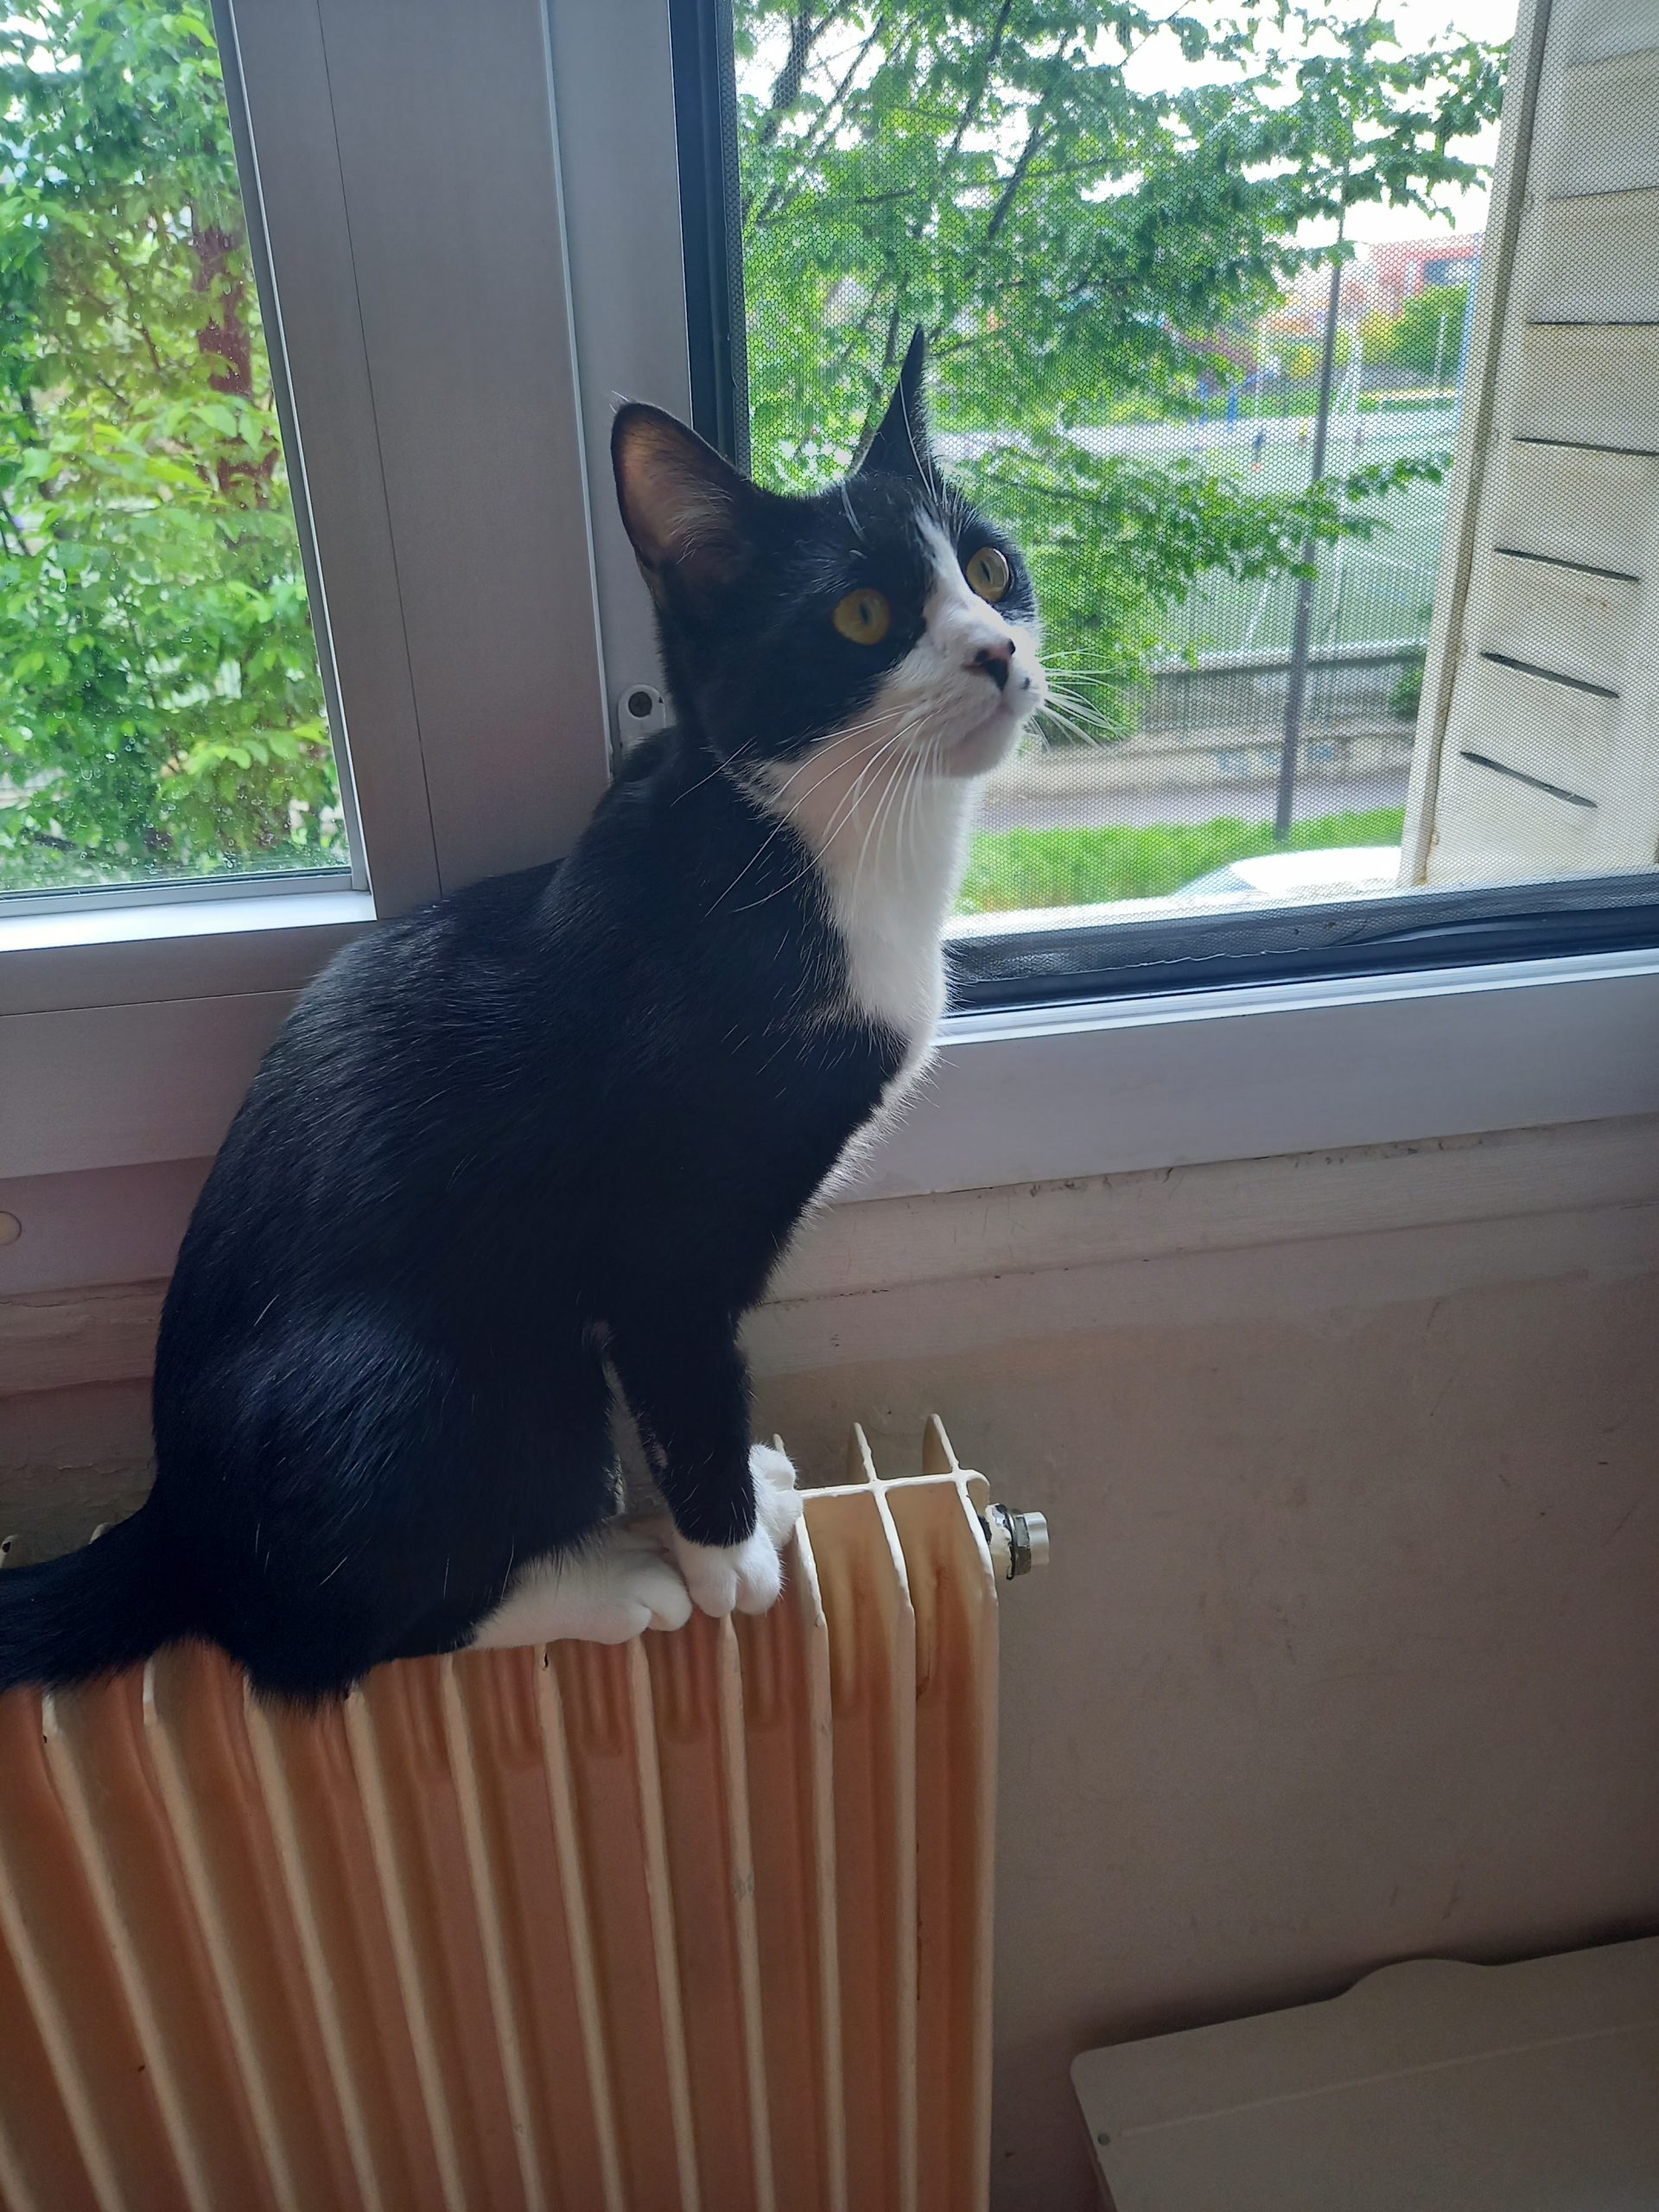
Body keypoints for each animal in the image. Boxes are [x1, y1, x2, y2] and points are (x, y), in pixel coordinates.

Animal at [0, 330, 1045, 1699]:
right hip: (442, 1377)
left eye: (989, 568)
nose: (999, 651)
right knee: (317, 1639)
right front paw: (730, 1557)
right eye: (861, 615)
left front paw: (749, 1510)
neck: (824, 850)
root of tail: (173, 1518)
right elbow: (687, 1376)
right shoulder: (661, 1233)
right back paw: (611, 1580)